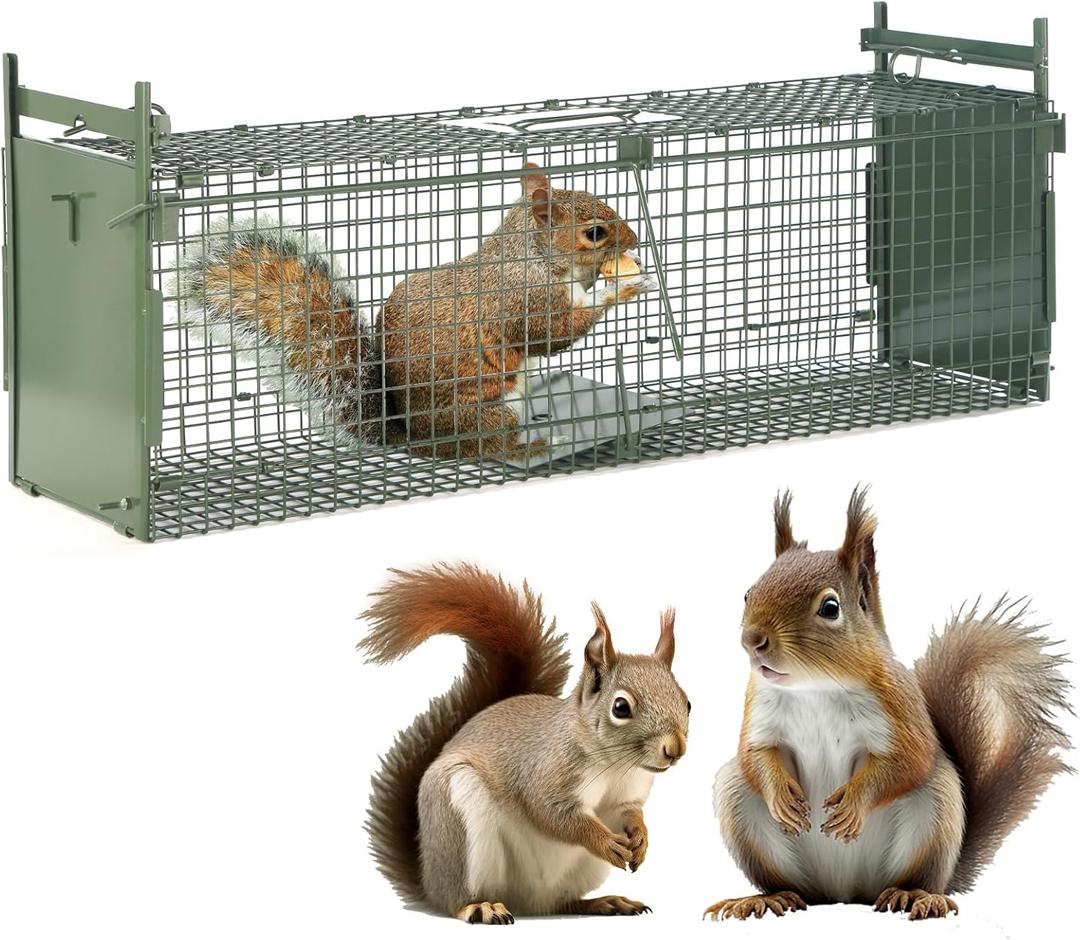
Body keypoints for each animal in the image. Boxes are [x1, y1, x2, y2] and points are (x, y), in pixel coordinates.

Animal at [177, 164, 656, 461]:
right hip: (486, 414)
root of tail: (411, 439)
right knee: (488, 449)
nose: (635, 239)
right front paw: (623, 287)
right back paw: (535, 447)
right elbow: (553, 334)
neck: (531, 256)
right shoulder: (523, 302)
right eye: (595, 233)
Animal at [359, 564, 689, 924]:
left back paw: (603, 902)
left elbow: (629, 813)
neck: (614, 765)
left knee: (562, 902)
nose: (675, 750)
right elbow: (553, 814)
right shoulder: (545, 772)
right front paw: (605, 842)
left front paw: (641, 838)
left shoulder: (625, 797)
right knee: (457, 899)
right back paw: (480, 906)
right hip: (458, 821)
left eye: (687, 702)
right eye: (620, 707)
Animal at [704, 488, 1072, 922]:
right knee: (789, 884)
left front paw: (853, 805)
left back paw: (916, 896)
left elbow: (908, 760)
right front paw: (782, 796)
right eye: (748, 592)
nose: (752, 639)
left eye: (830, 608)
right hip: (741, 806)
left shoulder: (899, 707)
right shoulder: (758, 708)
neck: (815, 687)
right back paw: (764, 898)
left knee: (918, 873)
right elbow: (754, 755)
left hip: (937, 810)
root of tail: (843, 893)